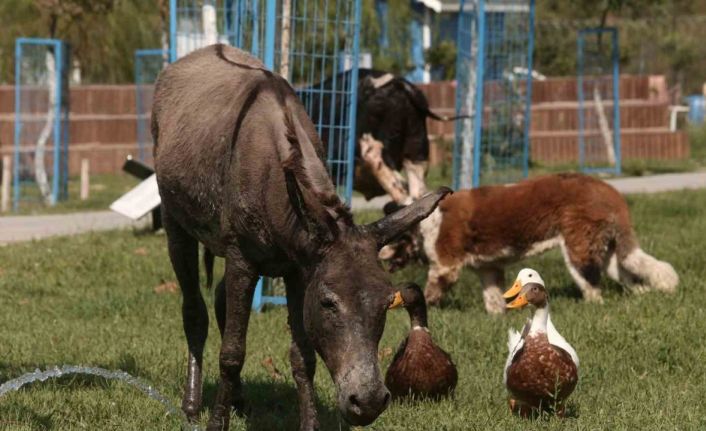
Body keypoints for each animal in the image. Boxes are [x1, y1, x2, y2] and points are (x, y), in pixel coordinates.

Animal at [416, 175, 672, 314]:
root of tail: (609, 191)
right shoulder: (489, 268)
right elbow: (493, 297)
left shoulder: (445, 265)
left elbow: (431, 290)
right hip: (607, 249)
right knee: (631, 273)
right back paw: (644, 294)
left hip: (579, 247)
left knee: (590, 283)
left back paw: (593, 305)